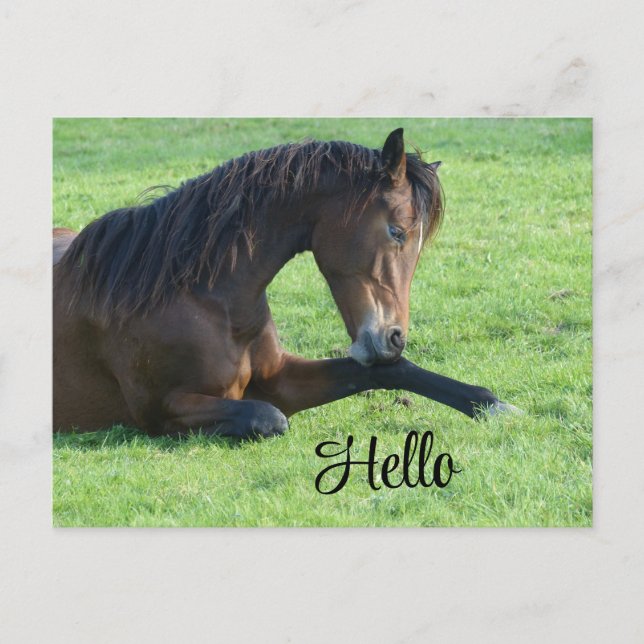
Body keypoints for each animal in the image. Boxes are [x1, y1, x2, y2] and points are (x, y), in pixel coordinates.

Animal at [53, 128, 516, 439]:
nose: (394, 337)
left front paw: (493, 405)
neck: (202, 297)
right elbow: (268, 417)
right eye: (397, 231)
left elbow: (392, 371)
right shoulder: (162, 410)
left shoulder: (281, 378)